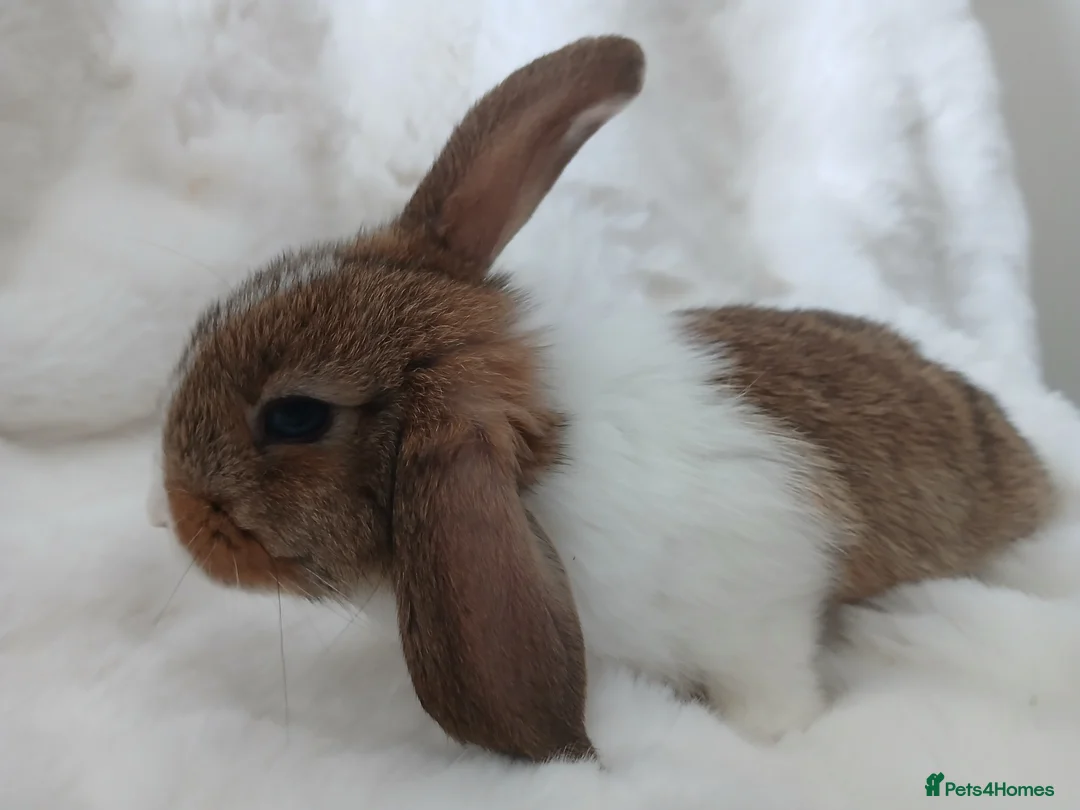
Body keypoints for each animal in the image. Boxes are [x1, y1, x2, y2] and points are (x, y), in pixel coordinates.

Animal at [153, 35, 1057, 764]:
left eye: (294, 417)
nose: (178, 515)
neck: (534, 478)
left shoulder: (763, 598)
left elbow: (776, 685)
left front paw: (765, 738)